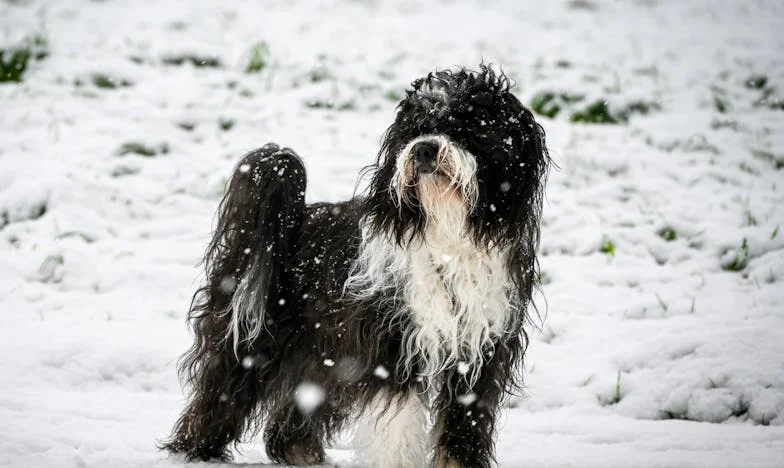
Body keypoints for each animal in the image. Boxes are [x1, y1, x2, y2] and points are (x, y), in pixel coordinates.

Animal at [162, 66, 548, 468]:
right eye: (416, 128)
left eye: (466, 127)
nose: (424, 148)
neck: (447, 235)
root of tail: (293, 219)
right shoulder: (395, 341)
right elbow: (398, 423)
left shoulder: (482, 349)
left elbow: (465, 420)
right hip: (255, 334)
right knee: (221, 389)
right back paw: (195, 452)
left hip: (324, 351)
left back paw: (298, 451)